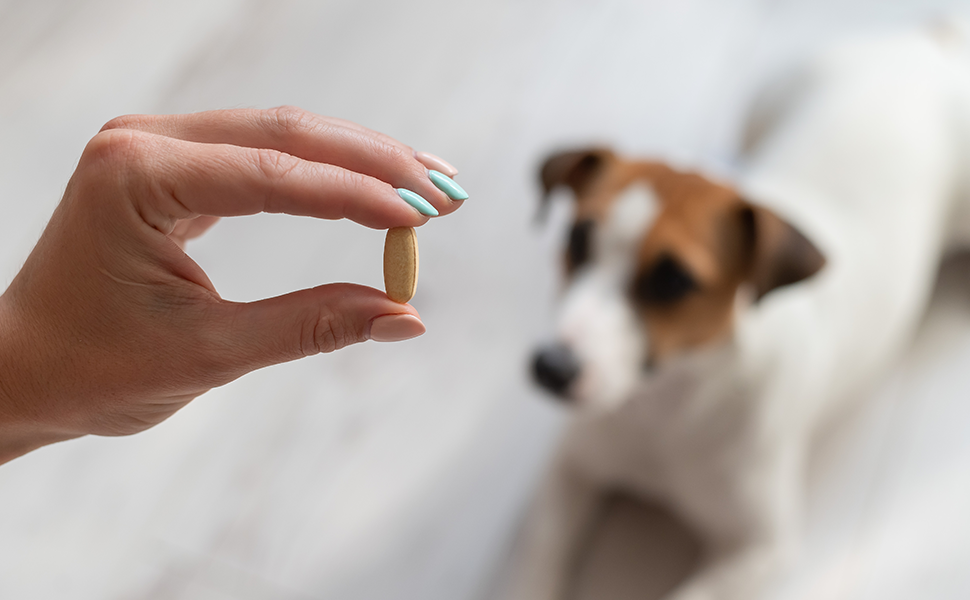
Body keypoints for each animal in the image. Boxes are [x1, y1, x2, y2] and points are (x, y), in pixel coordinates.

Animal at [502, 23, 968, 600]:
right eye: (576, 239)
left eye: (673, 280)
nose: (550, 368)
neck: (666, 404)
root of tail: (928, 44)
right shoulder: (569, 473)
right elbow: (537, 559)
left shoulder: (757, 550)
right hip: (762, 106)